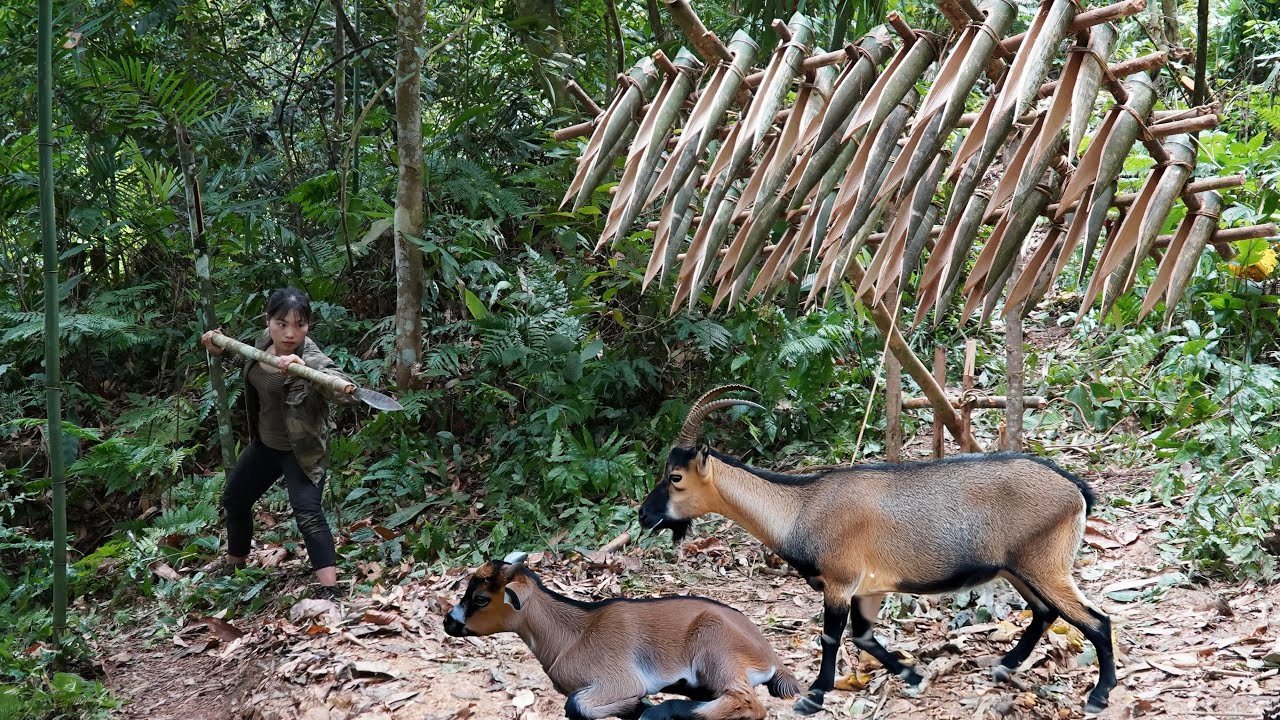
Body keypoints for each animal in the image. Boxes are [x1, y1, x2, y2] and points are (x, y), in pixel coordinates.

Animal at [444, 552, 801, 720]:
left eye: (480, 599)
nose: (448, 621)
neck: (572, 635)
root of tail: (769, 655)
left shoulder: (618, 680)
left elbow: (577, 705)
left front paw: (639, 704)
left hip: (715, 647)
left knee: (748, 703)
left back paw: (661, 711)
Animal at [638, 385, 1115, 716]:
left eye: (675, 477)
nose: (644, 515)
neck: (801, 506)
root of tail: (1075, 490)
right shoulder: (869, 588)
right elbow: (864, 636)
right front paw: (914, 675)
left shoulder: (840, 581)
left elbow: (832, 636)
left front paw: (813, 696)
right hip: (1020, 568)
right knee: (1045, 612)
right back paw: (1005, 665)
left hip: (1045, 566)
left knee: (1095, 621)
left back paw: (1098, 695)